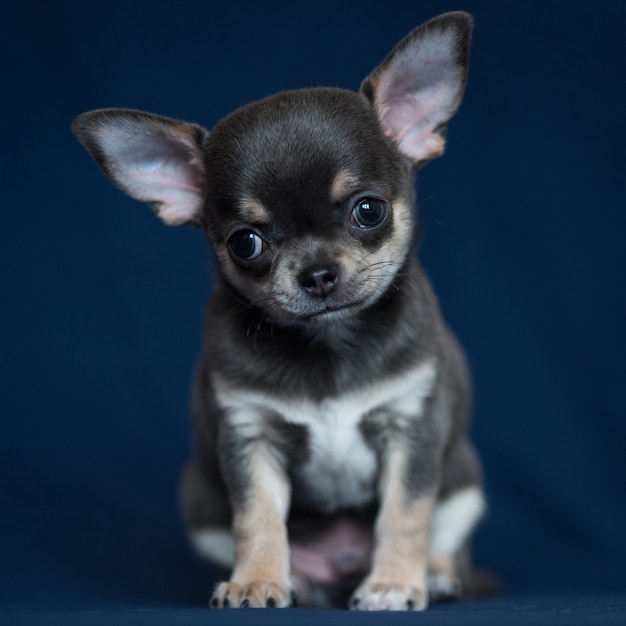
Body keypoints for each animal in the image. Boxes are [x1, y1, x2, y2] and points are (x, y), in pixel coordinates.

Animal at [72, 11, 482, 608]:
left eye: (369, 210)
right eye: (246, 243)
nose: (317, 273)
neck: (328, 344)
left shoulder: (413, 429)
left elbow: (405, 514)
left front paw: (392, 583)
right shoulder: (250, 438)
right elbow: (258, 517)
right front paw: (257, 580)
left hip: (464, 482)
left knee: (445, 534)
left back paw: (433, 574)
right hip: (200, 501)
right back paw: (299, 583)